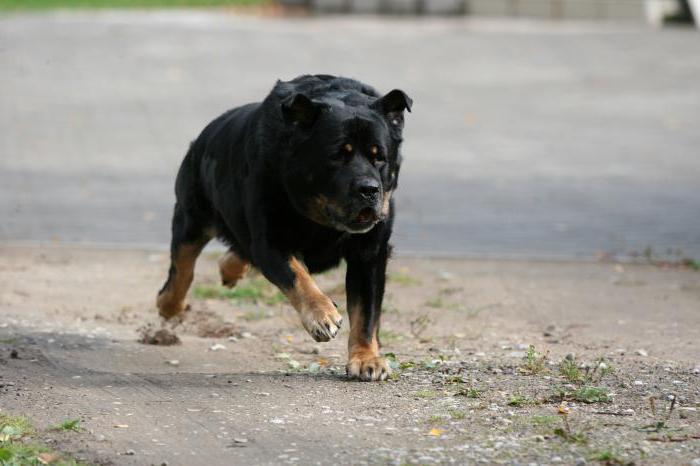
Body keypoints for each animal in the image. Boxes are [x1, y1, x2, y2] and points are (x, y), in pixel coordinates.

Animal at [156, 74, 412, 380]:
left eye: (379, 157)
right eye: (338, 156)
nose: (369, 189)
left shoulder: (370, 252)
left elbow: (367, 311)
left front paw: (367, 358)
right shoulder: (271, 241)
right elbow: (298, 277)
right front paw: (321, 315)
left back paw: (230, 269)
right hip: (192, 215)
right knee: (182, 267)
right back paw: (169, 304)